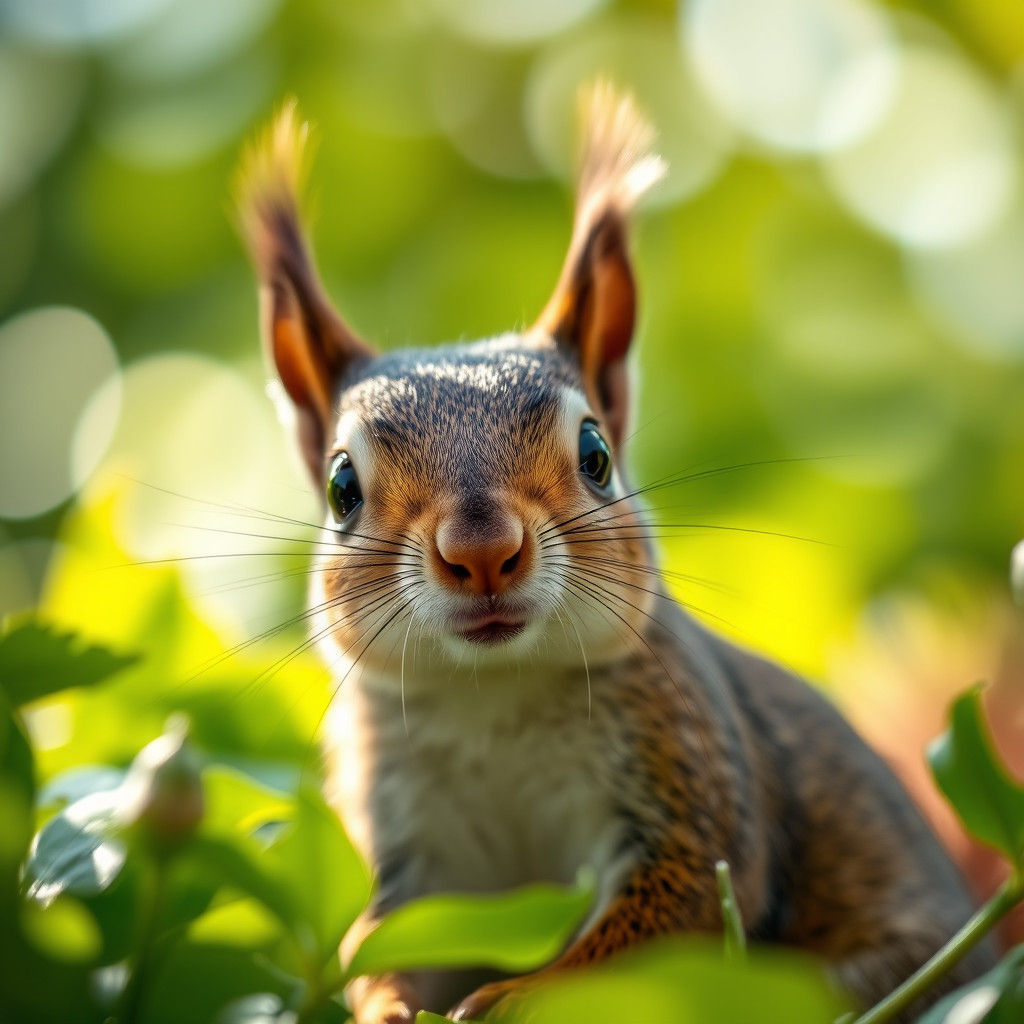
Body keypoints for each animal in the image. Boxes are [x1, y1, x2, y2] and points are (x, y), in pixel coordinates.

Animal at [236, 85, 995, 1023]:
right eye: (343, 486)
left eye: (596, 453)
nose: (482, 550)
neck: (495, 697)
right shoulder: (413, 858)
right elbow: (375, 946)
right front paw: (384, 1003)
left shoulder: (688, 779)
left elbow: (664, 920)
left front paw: (515, 993)